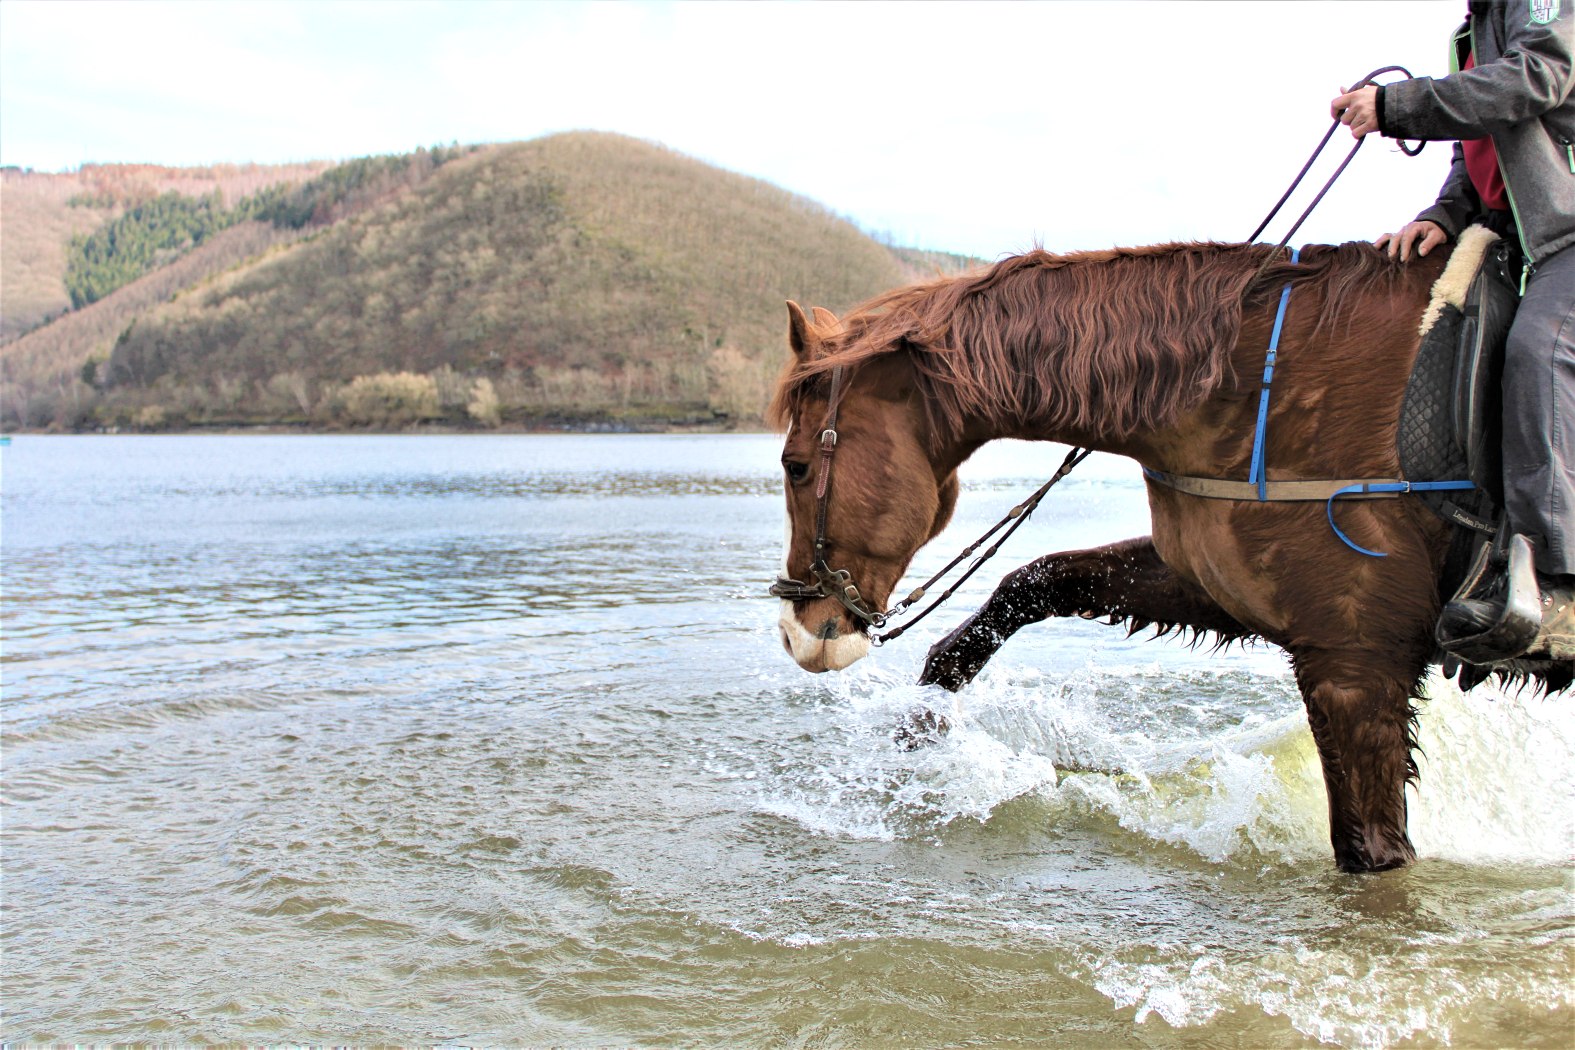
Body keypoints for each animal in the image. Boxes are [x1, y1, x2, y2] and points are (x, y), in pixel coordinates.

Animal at [774, 242, 1575, 875]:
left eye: (794, 466)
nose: (797, 632)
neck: (1258, 383)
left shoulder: (1354, 663)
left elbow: (1372, 851)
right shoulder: (1211, 582)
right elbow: (1033, 583)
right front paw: (925, 725)